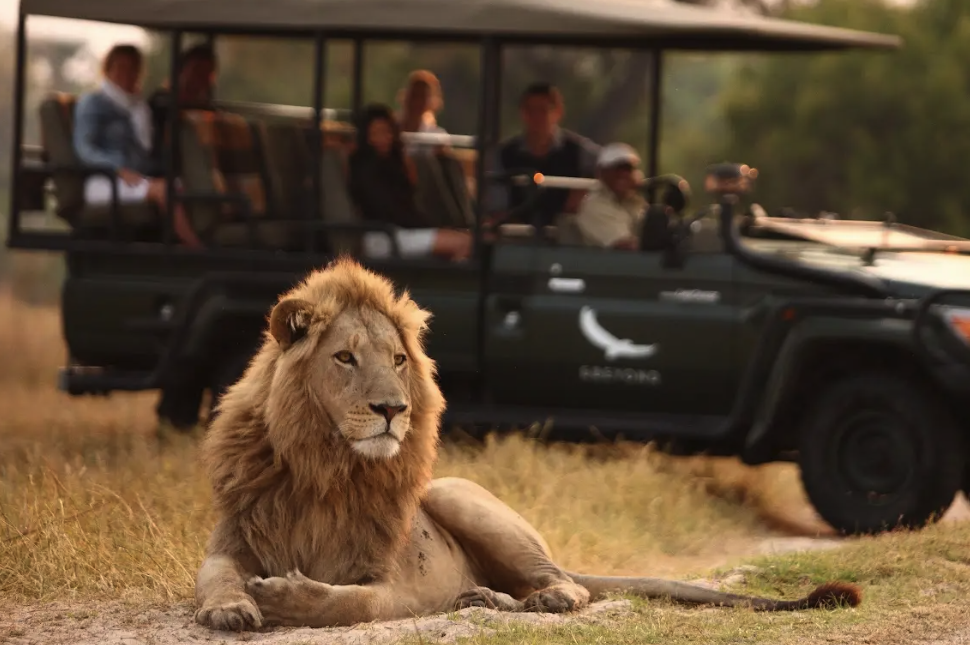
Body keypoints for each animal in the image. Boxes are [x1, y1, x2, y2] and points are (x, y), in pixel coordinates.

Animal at [194, 256, 862, 632]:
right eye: (344, 358)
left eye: (398, 360)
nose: (393, 410)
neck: (326, 468)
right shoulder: (233, 539)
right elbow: (215, 576)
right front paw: (229, 607)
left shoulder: (395, 586)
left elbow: (350, 604)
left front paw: (285, 598)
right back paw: (483, 597)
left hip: (461, 495)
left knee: (568, 584)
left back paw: (529, 601)